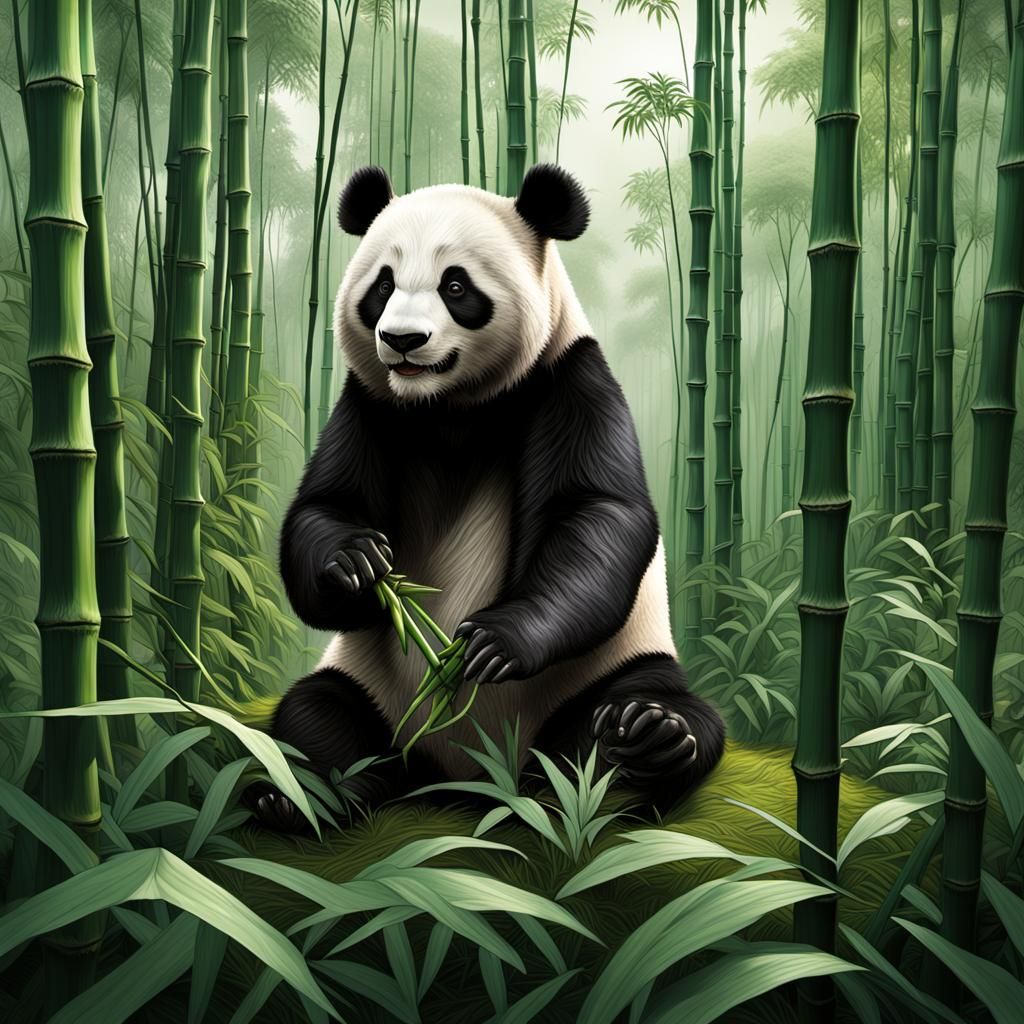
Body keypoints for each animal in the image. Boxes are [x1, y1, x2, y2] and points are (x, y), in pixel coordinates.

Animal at [248, 163, 725, 832]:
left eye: (455, 286)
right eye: (383, 285)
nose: (402, 339)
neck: (450, 408)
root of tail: (468, 777)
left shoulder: (569, 378)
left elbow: (597, 513)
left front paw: (492, 641)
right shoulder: (371, 404)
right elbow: (325, 504)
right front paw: (357, 563)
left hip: (610, 665)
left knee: (652, 714)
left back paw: (642, 747)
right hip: (369, 682)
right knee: (318, 714)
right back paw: (305, 798)